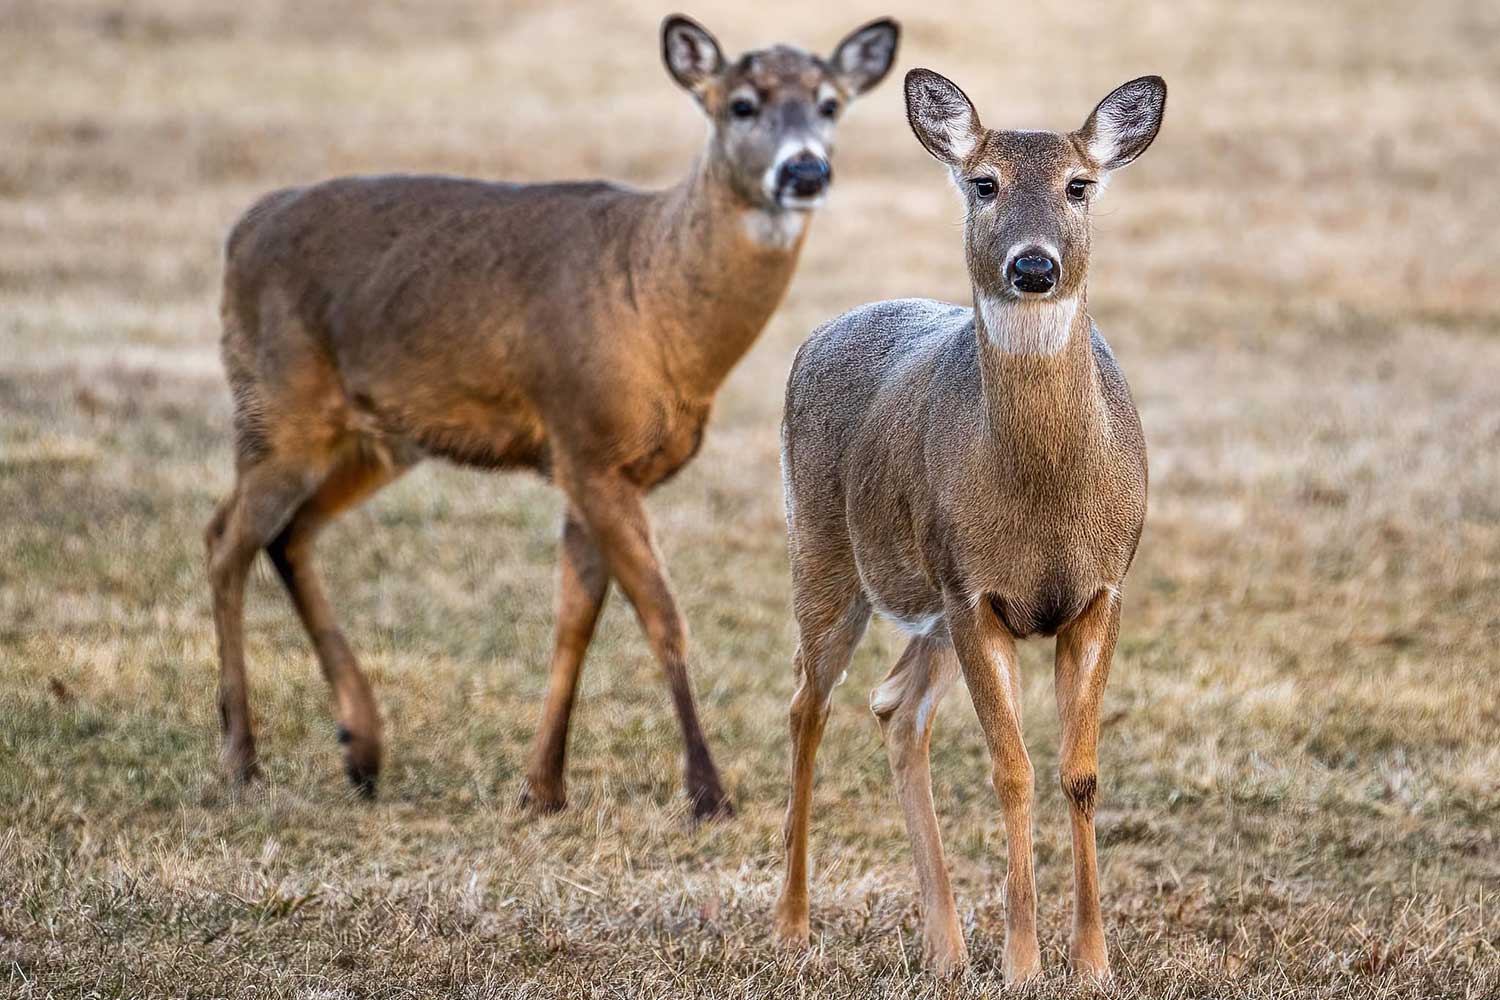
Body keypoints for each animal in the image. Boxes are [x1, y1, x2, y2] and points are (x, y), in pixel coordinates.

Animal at [204, 11, 894, 815]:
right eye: (741, 104)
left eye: (830, 103)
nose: (805, 172)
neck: (656, 303)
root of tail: (241, 230)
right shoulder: (586, 441)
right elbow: (662, 614)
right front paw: (706, 792)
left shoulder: (593, 464)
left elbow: (575, 620)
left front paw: (543, 786)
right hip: (281, 403)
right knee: (226, 540)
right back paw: (243, 758)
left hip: (376, 439)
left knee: (288, 534)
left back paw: (362, 750)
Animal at [774, 70, 1170, 977]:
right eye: (984, 183)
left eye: (1079, 185)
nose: (1033, 263)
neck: (1045, 500)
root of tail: (815, 335)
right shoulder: (975, 593)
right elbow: (1012, 771)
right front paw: (1025, 963)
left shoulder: (1100, 591)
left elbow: (1078, 772)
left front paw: (1092, 961)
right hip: (826, 548)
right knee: (808, 704)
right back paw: (793, 926)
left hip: (927, 604)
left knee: (895, 707)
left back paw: (945, 947)